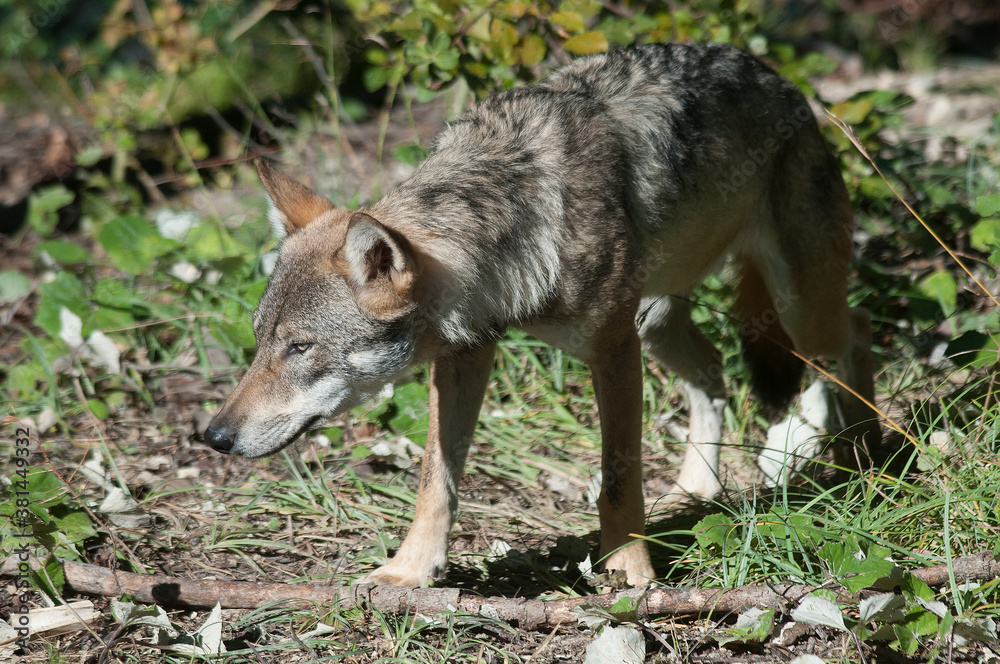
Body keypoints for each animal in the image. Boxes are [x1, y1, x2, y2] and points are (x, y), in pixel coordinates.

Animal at [203, 42, 876, 588]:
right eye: (261, 342)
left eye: (300, 347)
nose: (213, 437)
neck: (510, 224)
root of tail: (783, 82)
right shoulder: (464, 358)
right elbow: (434, 480)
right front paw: (409, 571)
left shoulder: (612, 352)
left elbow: (617, 483)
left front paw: (630, 572)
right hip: (659, 322)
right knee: (713, 372)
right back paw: (696, 490)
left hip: (795, 307)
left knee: (853, 340)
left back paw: (861, 456)